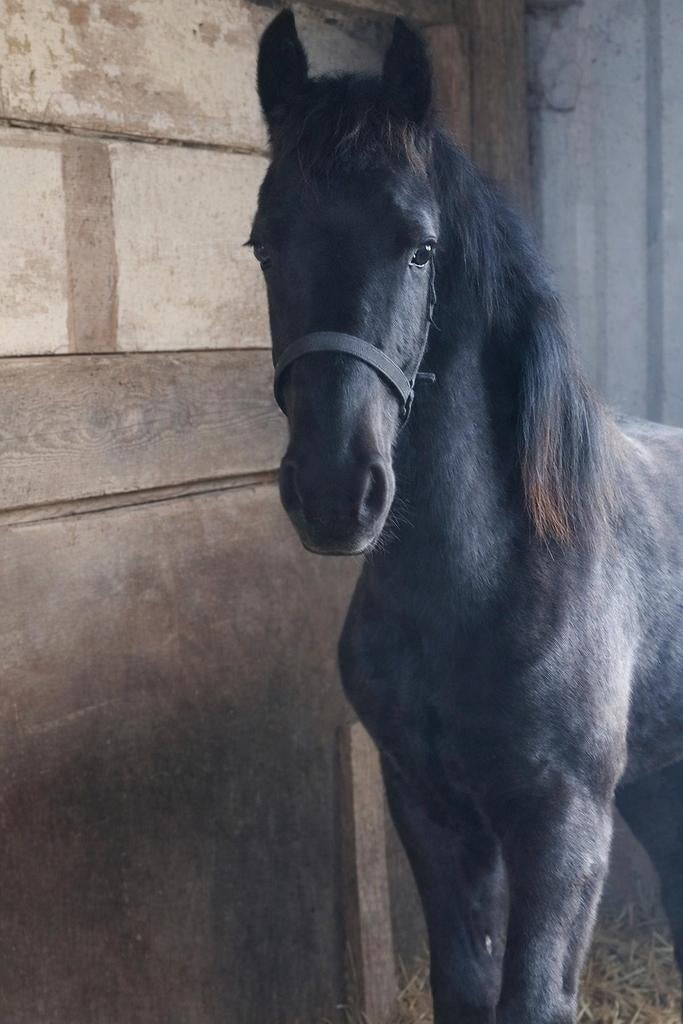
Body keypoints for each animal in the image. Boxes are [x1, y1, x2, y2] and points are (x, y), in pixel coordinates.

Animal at [251, 11, 683, 1023]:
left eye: (418, 246)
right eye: (263, 243)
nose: (336, 491)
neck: (480, 585)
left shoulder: (563, 824)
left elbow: (531, 1000)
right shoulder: (431, 808)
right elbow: (465, 988)